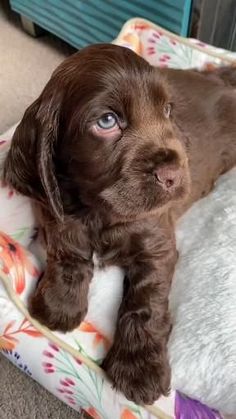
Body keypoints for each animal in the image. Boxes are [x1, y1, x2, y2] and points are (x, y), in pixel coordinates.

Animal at [3, 45, 236, 406]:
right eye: (107, 121)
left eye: (167, 110)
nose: (173, 175)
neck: (100, 210)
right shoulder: (53, 203)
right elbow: (66, 246)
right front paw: (60, 301)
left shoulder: (157, 243)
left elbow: (145, 302)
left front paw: (139, 368)